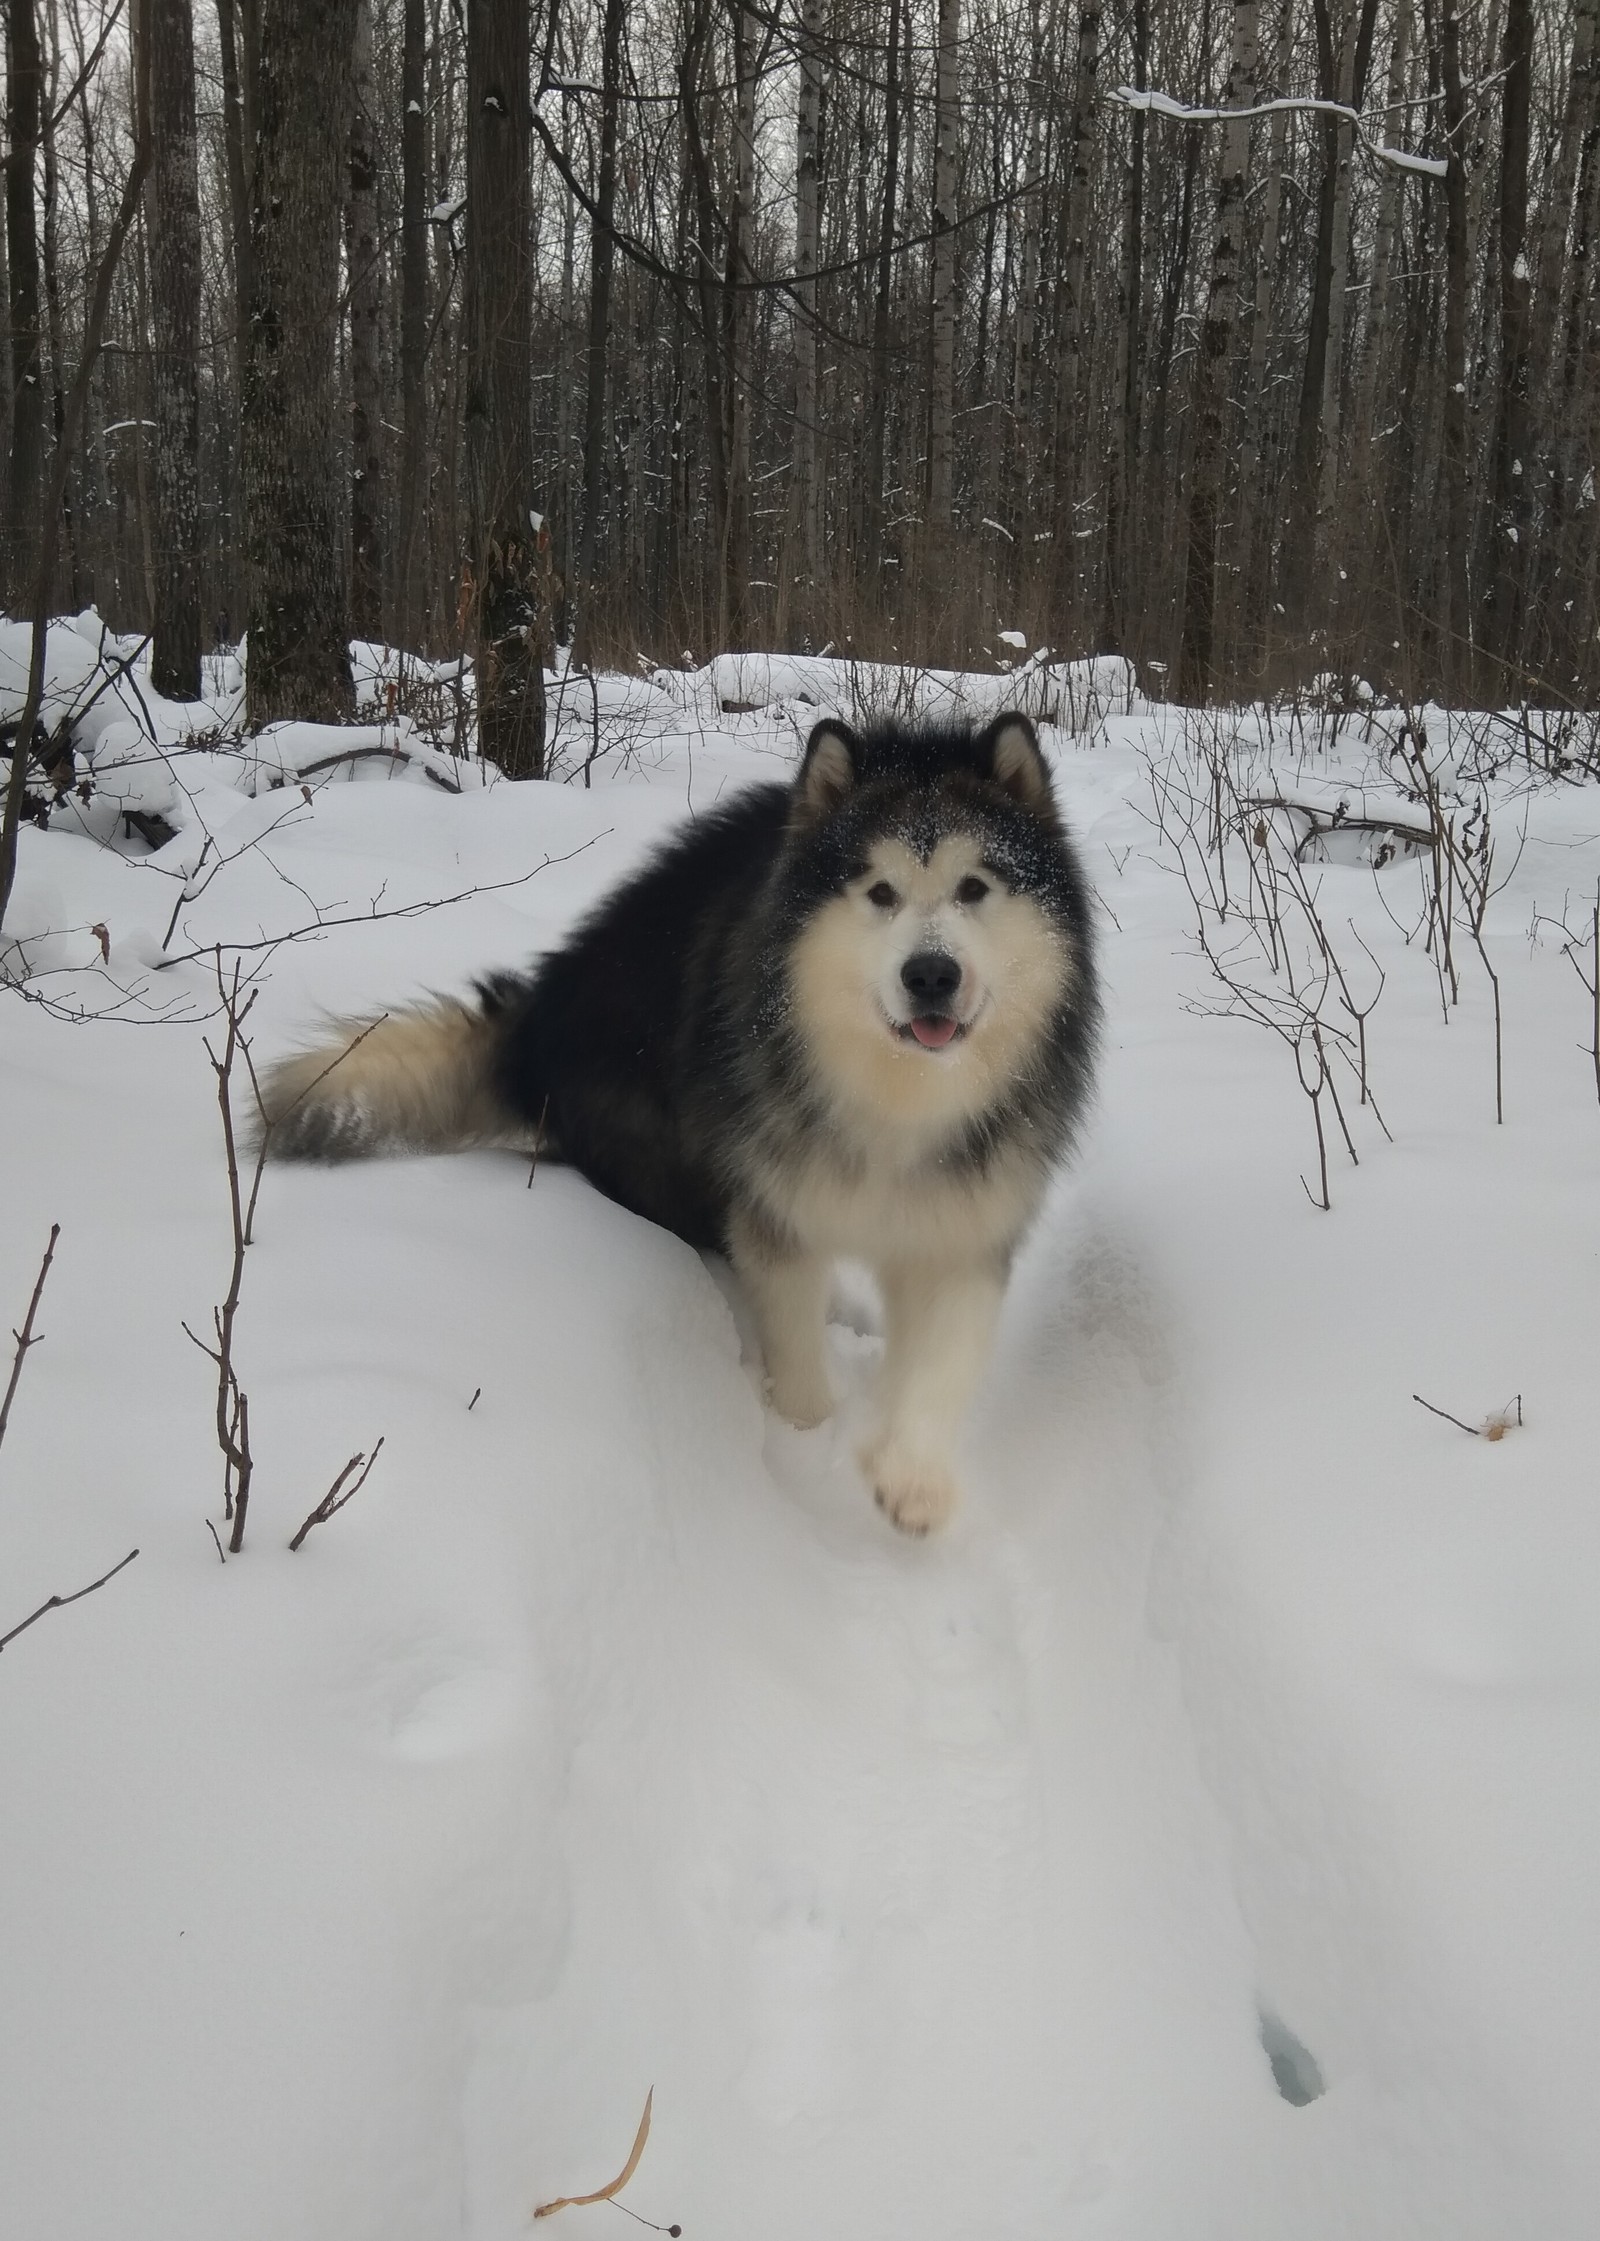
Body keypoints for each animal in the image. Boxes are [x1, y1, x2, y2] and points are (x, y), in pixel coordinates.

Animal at [258, 708, 1098, 1532]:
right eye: (881, 891)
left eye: (974, 886)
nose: (930, 975)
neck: (898, 1094)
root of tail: (538, 1025)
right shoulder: (776, 1206)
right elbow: (793, 1339)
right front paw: (805, 1443)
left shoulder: (963, 1222)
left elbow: (940, 1364)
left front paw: (911, 1477)